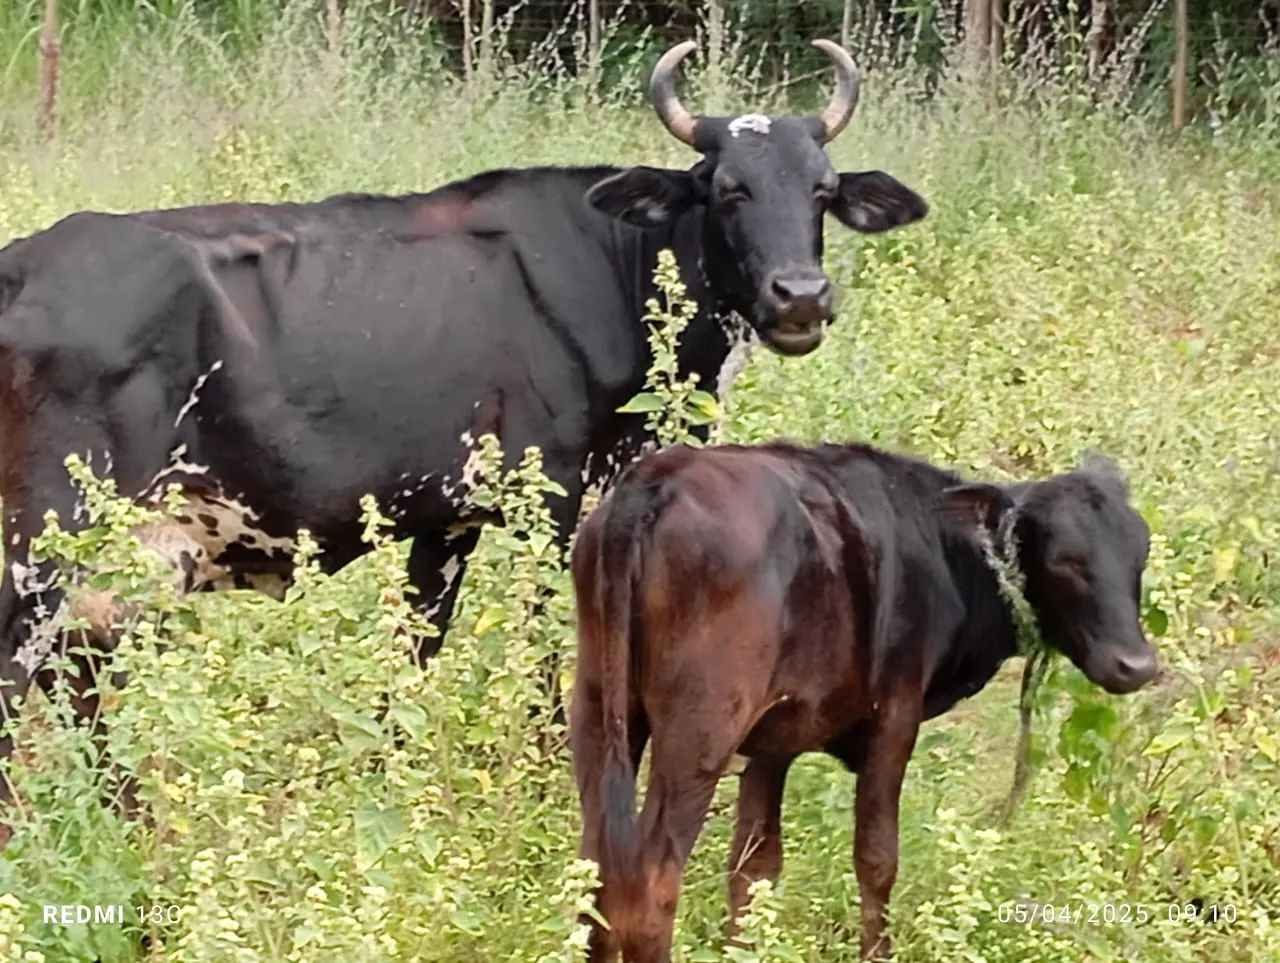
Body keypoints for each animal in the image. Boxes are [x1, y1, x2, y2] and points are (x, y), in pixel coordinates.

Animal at [0, 40, 926, 833]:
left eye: (822, 189)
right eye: (727, 187)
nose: (800, 296)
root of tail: (26, 260)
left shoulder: (443, 521)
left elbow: (417, 649)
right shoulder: (557, 503)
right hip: (44, 548)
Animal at [569, 442, 1159, 962]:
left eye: (1141, 554)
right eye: (1066, 560)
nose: (1136, 664)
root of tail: (657, 480)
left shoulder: (772, 743)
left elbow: (753, 868)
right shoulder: (895, 718)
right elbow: (877, 859)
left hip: (600, 710)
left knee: (597, 865)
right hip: (699, 732)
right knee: (650, 883)